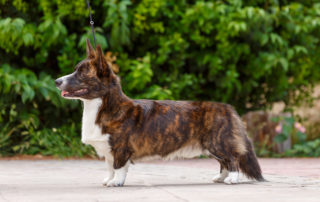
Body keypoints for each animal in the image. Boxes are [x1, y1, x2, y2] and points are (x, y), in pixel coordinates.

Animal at [55, 38, 264, 187]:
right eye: (75, 70)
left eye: (81, 73)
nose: (57, 81)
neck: (102, 106)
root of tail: (229, 108)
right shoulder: (108, 150)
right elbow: (109, 167)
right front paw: (109, 179)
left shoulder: (120, 148)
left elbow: (118, 167)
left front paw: (116, 182)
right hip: (211, 146)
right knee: (224, 163)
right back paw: (220, 178)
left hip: (218, 142)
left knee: (233, 159)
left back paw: (232, 179)